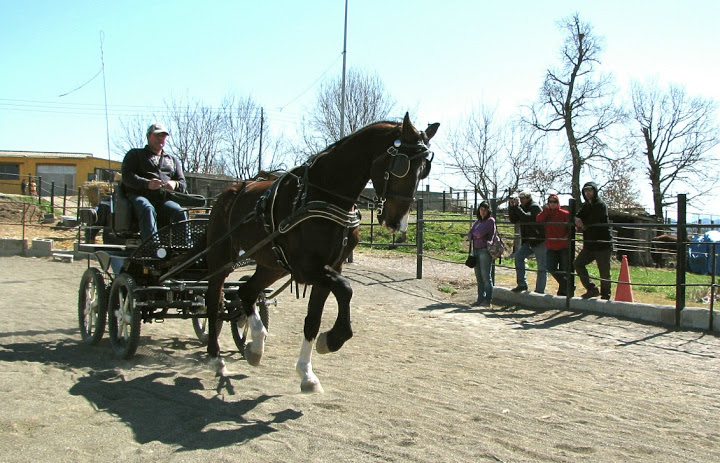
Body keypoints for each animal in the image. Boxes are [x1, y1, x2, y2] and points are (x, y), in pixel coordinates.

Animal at [202, 112, 438, 392]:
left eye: (424, 169)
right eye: (401, 165)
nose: (397, 223)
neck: (324, 195)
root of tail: (229, 191)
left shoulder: (330, 267)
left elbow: (313, 320)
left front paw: (307, 372)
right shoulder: (307, 269)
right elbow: (346, 289)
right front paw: (333, 339)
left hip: (272, 265)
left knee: (246, 293)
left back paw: (256, 346)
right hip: (220, 257)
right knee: (213, 299)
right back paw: (216, 357)